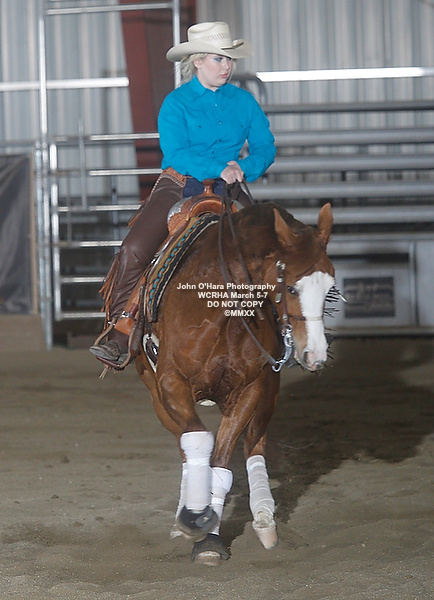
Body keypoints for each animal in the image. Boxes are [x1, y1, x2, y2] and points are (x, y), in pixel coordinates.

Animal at [135, 199, 335, 566]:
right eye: (290, 287)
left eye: (330, 287)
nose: (314, 355)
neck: (219, 309)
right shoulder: (170, 384)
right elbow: (198, 441)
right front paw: (192, 517)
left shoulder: (250, 389)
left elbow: (222, 465)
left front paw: (208, 538)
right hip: (157, 396)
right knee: (186, 446)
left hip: (268, 392)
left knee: (254, 444)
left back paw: (264, 519)